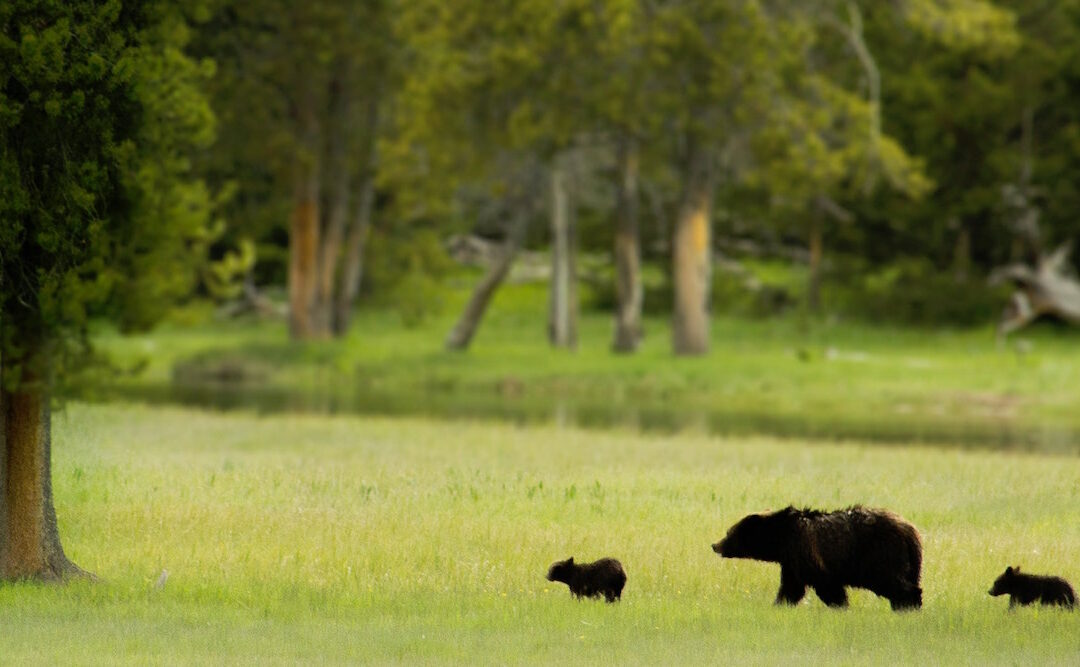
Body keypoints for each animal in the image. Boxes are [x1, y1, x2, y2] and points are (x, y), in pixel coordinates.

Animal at [712, 502, 924, 608]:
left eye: (729, 533)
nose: (715, 545)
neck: (781, 539)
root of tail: (910, 531)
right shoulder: (791, 562)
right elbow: (791, 588)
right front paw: (779, 604)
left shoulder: (807, 554)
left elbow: (826, 586)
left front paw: (840, 605)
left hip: (881, 555)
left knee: (894, 582)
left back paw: (908, 606)